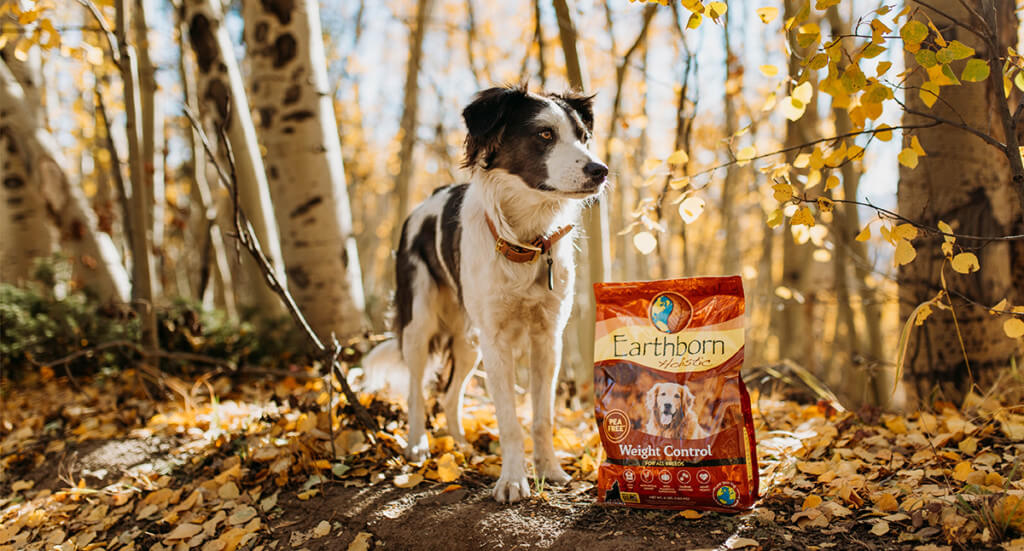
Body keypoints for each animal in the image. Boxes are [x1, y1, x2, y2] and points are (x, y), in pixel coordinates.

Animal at [366, 83, 606, 499]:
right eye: (545, 134)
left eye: (583, 137)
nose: (600, 170)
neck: (526, 240)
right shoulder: (497, 339)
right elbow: (508, 419)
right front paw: (512, 480)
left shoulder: (547, 337)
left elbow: (541, 417)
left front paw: (550, 470)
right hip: (421, 322)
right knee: (416, 389)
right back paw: (417, 445)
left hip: (469, 341)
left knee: (449, 395)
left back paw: (460, 445)